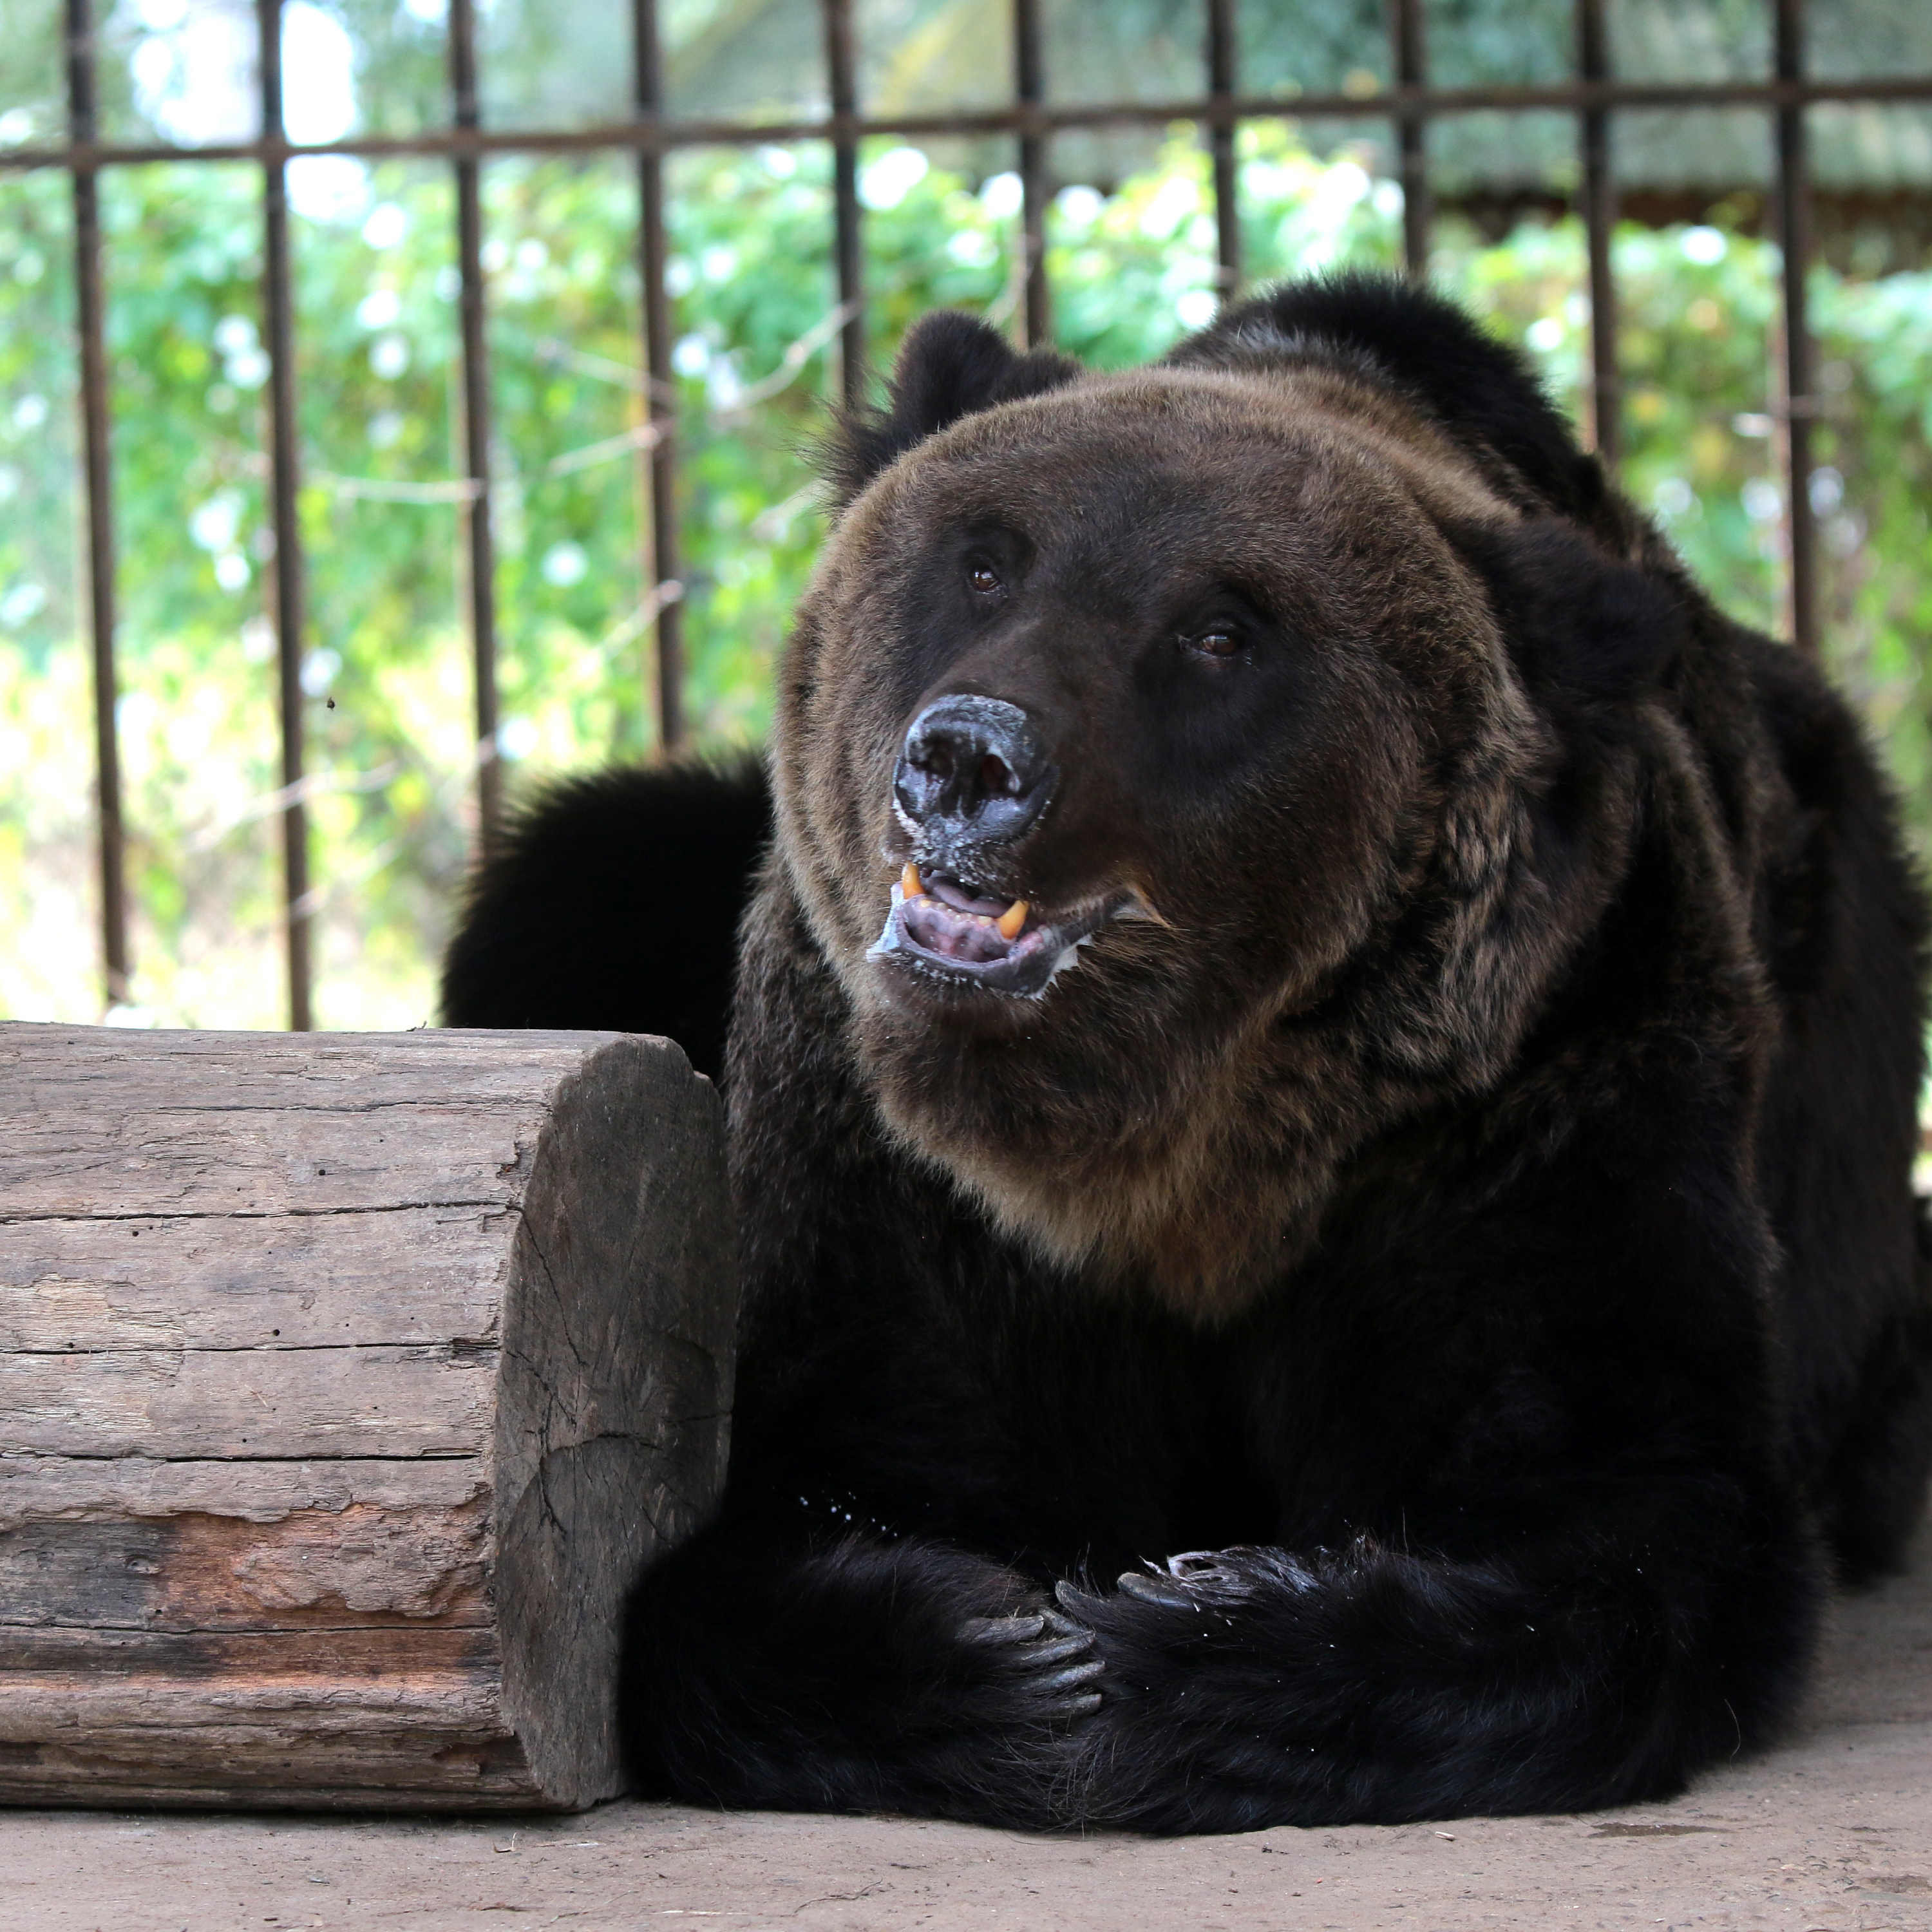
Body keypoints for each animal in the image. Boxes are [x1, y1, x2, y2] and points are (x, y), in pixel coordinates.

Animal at [442, 272, 1932, 1824]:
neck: (1174, 1153)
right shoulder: (887, 1160)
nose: (969, 757)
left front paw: (1186, 1643)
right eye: (988, 562)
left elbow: (1630, 1514)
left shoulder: (1540, 1088)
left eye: (1220, 633)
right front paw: (1002, 1653)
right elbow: (815, 1492)